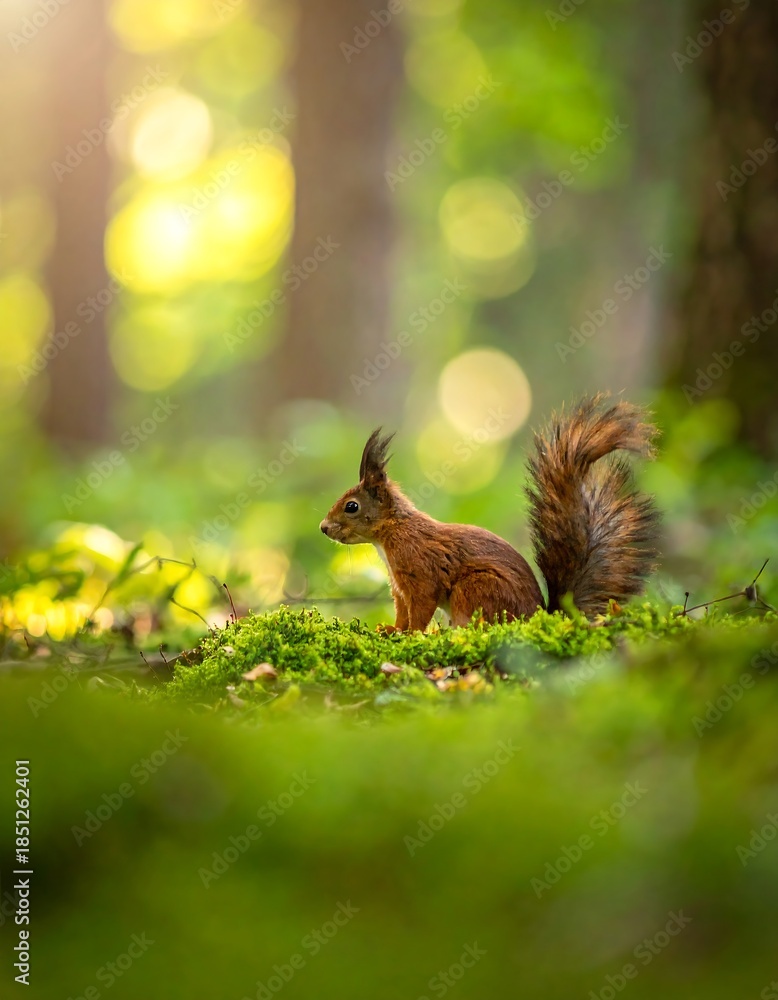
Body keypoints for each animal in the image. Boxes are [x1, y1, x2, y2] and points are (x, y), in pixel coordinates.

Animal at [319, 394, 660, 631]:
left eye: (352, 506)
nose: (323, 527)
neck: (393, 530)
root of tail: (536, 617)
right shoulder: (399, 587)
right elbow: (402, 611)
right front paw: (391, 630)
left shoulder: (420, 572)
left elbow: (420, 609)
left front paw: (411, 635)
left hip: (477, 588)